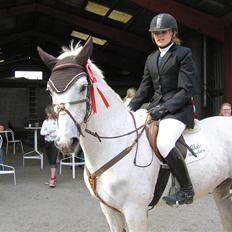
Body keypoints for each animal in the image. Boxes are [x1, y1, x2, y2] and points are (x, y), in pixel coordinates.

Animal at [38, 37, 232, 231]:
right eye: (49, 90)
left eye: (83, 87)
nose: (65, 142)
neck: (115, 143)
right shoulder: (110, 210)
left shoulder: (135, 211)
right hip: (222, 190)